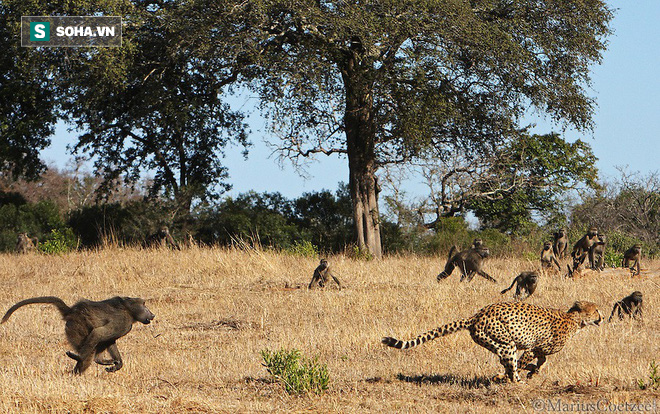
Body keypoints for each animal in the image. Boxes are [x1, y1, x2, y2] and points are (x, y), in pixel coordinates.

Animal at [2, 296, 155, 374]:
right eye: (144, 305)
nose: (152, 314)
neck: (129, 310)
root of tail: (72, 311)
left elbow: (109, 341)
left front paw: (116, 365)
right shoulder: (122, 321)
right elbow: (100, 333)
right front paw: (82, 357)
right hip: (76, 327)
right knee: (88, 352)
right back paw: (77, 367)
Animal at [382, 300, 604, 382]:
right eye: (596, 310)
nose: (602, 317)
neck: (574, 320)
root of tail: (477, 315)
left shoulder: (539, 350)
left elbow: (541, 361)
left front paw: (534, 371)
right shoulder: (532, 347)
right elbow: (524, 361)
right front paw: (524, 373)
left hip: (496, 343)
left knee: (505, 361)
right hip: (506, 342)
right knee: (511, 364)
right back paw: (516, 382)